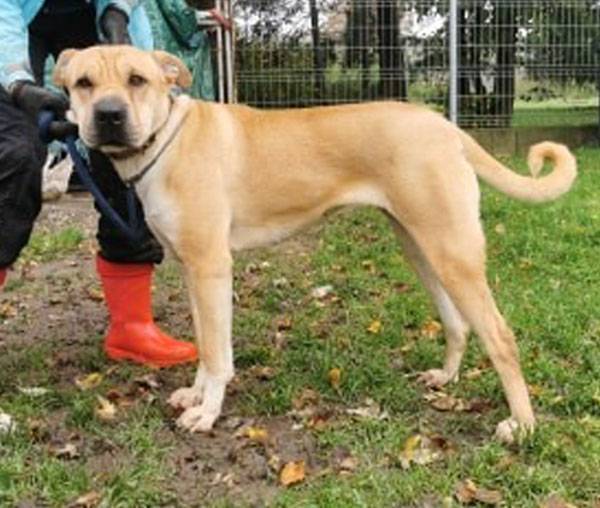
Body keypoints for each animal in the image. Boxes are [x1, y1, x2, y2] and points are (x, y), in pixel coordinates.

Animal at [53, 46, 577, 443]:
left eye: (136, 79)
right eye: (84, 83)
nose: (109, 115)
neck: (165, 140)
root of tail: (444, 126)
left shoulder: (211, 268)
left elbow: (219, 355)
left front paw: (207, 412)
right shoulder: (192, 271)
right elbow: (205, 345)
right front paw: (196, 395)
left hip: (452, 253)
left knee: (501, 337)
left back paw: (522, 425)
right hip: (421, 248)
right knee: (458, 323)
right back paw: (445, 378)